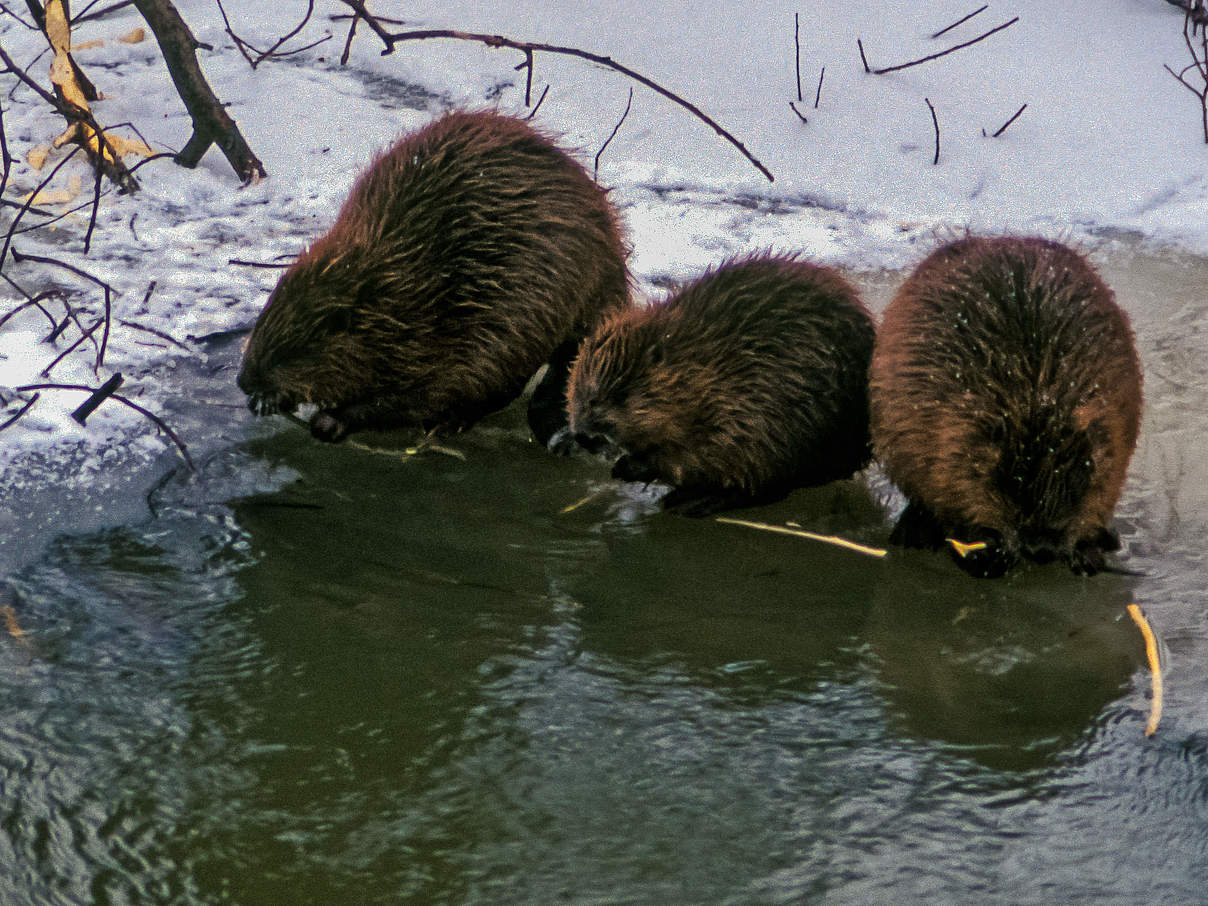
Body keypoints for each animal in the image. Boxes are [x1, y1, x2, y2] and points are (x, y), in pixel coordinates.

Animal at [237, 109, 632, 446]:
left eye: (291, 353)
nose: (243, 382)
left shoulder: (462, 334)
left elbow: (421, 397)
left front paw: (329, 421)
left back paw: (452, 424)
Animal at [565, 253, 879, 517]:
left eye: (621, 394)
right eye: (578, 392)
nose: (583, 434)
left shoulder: (751, 401)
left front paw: (632, 467)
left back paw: (692, 502)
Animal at [869, 234, 1140, 575]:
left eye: (1082, 477)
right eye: (1011, 481)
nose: (1041, 549)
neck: (1037, 387)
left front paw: (1088, 551)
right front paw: (982, 553)